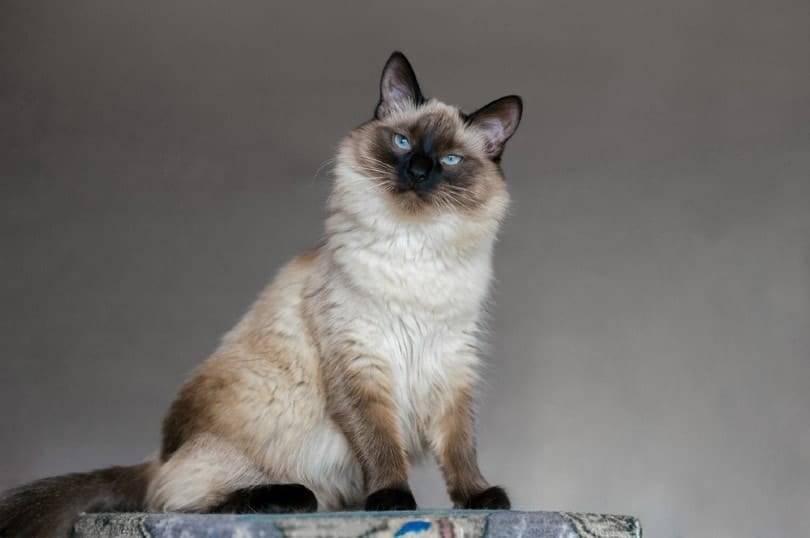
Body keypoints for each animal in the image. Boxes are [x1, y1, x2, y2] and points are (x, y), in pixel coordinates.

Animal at [0, 49, 520, 532]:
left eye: (450, 160)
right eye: (402, 142)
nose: (417, 171)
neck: (417, 248)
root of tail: (161, 454)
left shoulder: (451, 367)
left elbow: (460, 449)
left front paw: (481, 497)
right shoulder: (361, 365)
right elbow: (381, 445)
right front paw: (391, 500)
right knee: (174, 499)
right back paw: (280, 497)